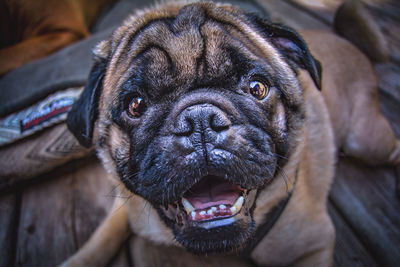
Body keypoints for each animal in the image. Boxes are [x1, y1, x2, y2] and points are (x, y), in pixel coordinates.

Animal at [62, 1, 400, 266]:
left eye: (257, 88)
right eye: (136, 105)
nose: (200, 120)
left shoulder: (313, 245)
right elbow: (103, 236)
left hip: (367, 141)